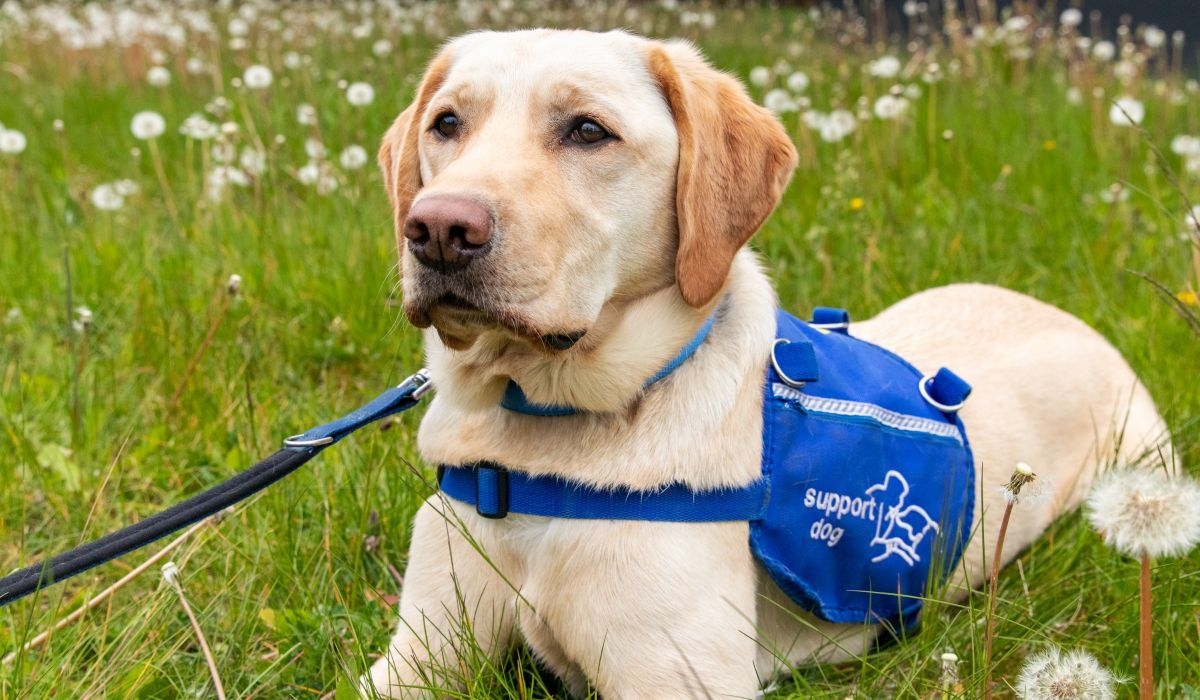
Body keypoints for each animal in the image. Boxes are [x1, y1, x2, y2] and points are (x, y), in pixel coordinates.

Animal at [362, 28, 1171, 700]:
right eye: (446, 124)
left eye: (589, 130)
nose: (438, 228)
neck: (534, 434)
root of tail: (1073, 317)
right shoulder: (414, 655)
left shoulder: (679, 679)